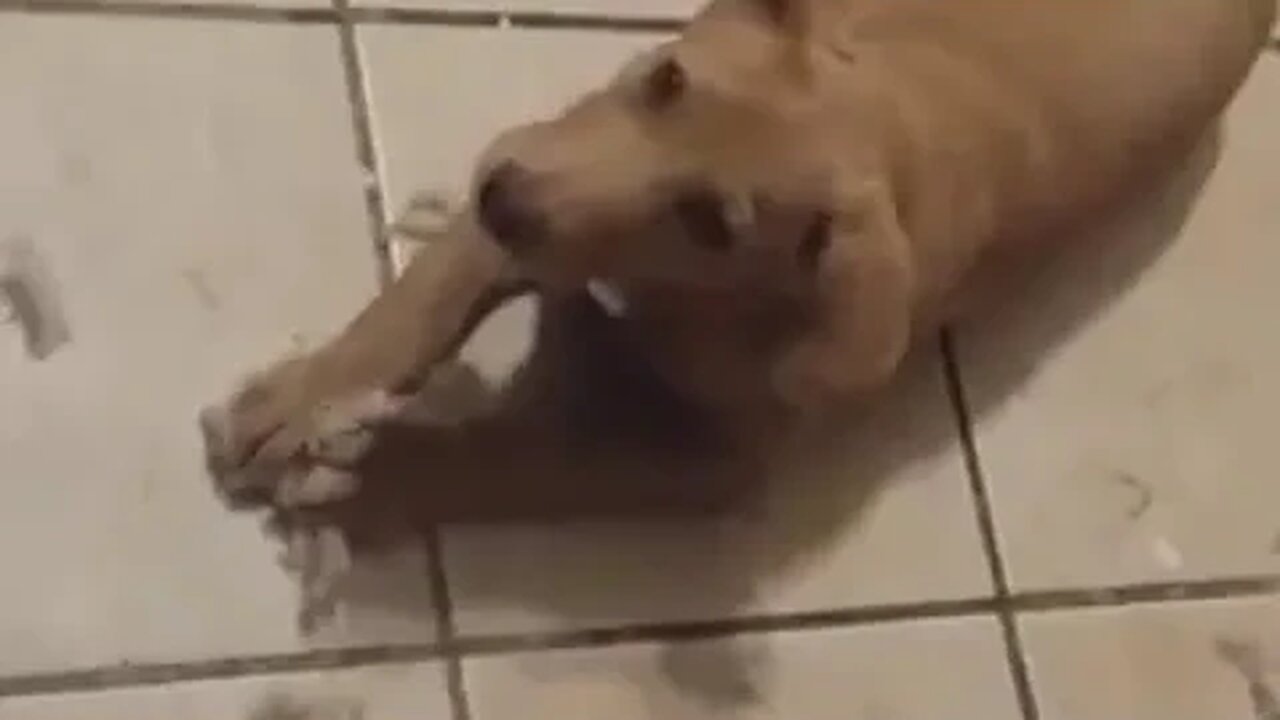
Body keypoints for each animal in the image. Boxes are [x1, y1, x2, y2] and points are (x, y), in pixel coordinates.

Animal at [200, 0, 1275, 523]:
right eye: (668, 80)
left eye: (713, 222)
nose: (501, 193)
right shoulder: (556, 146)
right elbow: (419, 304)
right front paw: (297, 403)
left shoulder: (713, 462)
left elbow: (526, 460)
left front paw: (379, 478)